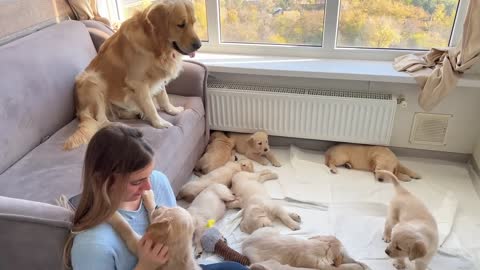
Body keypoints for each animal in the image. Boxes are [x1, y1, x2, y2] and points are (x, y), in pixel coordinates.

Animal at [63, 0, 201, 150]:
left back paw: (137, 113)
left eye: (193, 23)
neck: (154, 44)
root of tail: (79, 110)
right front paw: (159, 123)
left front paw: (173, 110)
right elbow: (150, 106)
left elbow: (163, 97)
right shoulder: (138, 82)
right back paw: (118, 126)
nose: (199, 45)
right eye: (181, 25)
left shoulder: (158, 76)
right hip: (92, 80)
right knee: (101, 121)